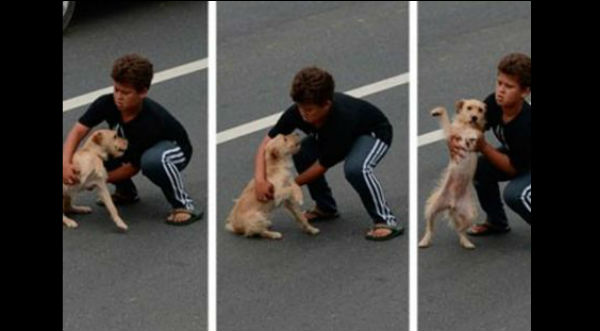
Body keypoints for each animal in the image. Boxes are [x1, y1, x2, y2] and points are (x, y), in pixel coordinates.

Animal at [418, 100, 488, 250]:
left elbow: (475, 133)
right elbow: (446, 119)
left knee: (461, 230)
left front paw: (472, 133)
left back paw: (466, 242)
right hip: (432, 208)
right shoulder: (451, 134)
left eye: (480, 110)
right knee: (430, 228)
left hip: (470, 214)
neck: (466, 125)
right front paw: (437, 111)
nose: (474, 117)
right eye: (469, 108)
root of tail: (452, 204)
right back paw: (424, 241)